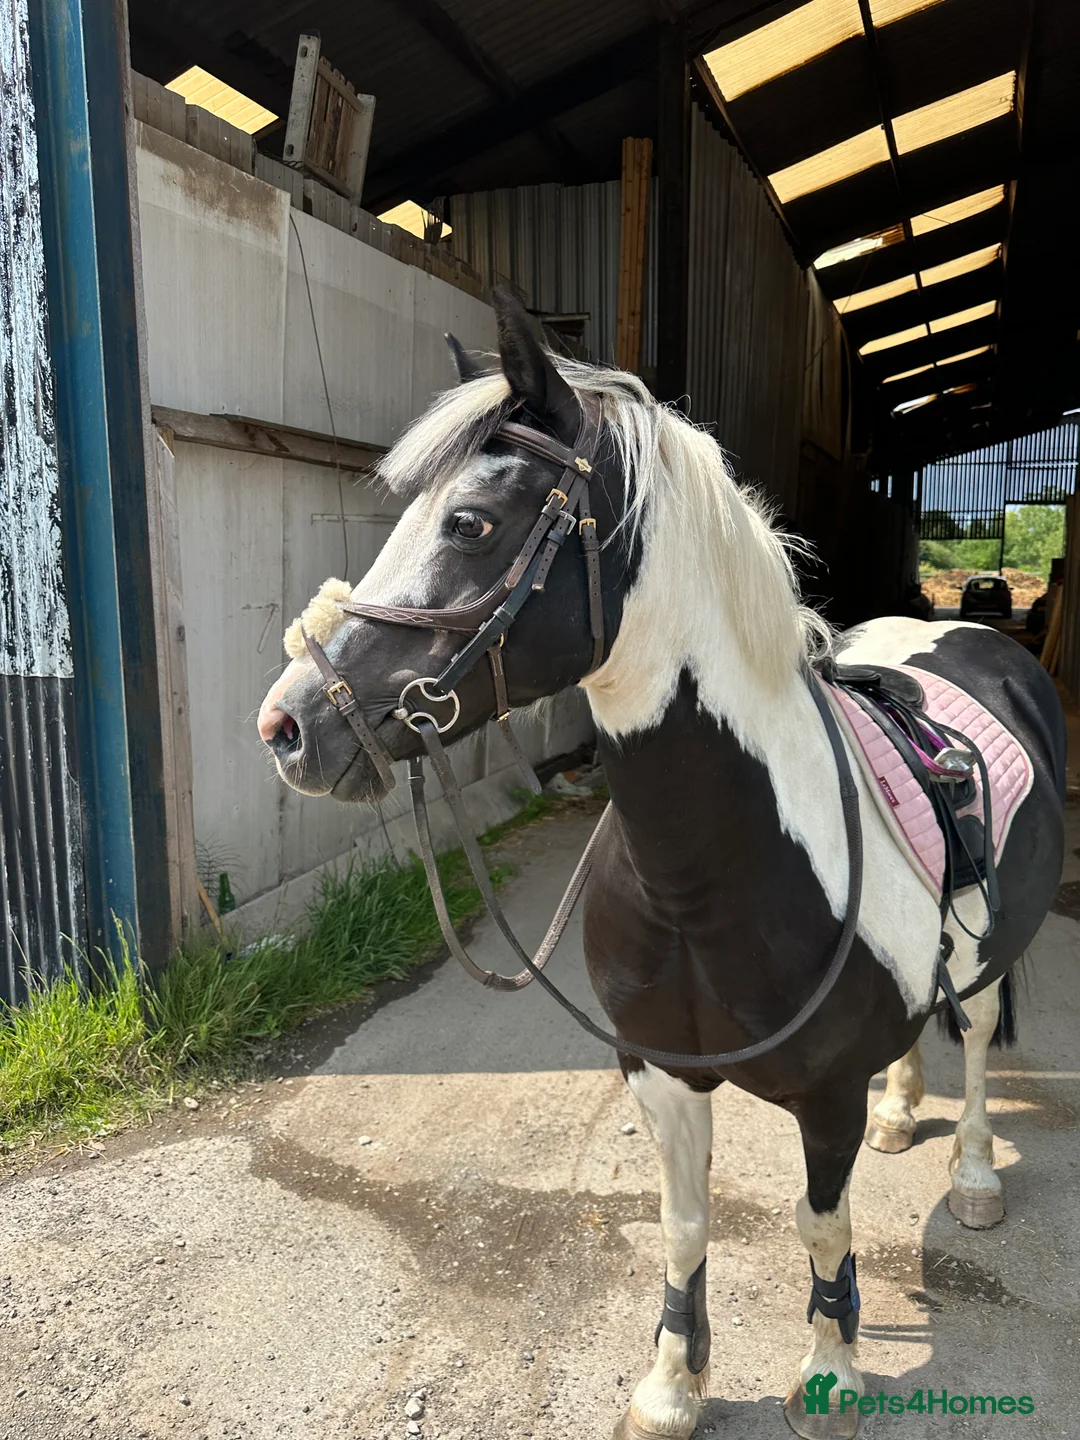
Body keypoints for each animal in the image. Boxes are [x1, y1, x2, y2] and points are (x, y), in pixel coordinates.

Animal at [257, 290, 1065, 1439]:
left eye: (469, 523)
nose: (288, 726)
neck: (711, 879)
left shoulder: (825, 1097)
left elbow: (823, 1231)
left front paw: (829, 1372)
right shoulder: (661, 1074)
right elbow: (685, 1228)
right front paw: (673, 1383)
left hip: (994, 963)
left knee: (986, 1042)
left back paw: (974, 1177)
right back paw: (906, 1113)